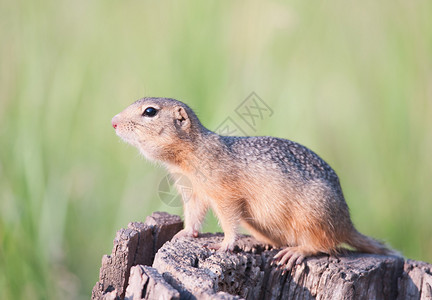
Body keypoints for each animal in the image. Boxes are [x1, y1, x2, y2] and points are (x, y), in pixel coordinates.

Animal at [112, 97, 398, 268]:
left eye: (150, 111)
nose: (113, 122)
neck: (188, 156)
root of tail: (347, 223)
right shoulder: (193, 192)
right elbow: (194, 215)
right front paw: (184, 233)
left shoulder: (224, 193)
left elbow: (228, 219)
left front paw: (225, 244)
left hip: (314, 216)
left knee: (325, 245)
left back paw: (297, 251)